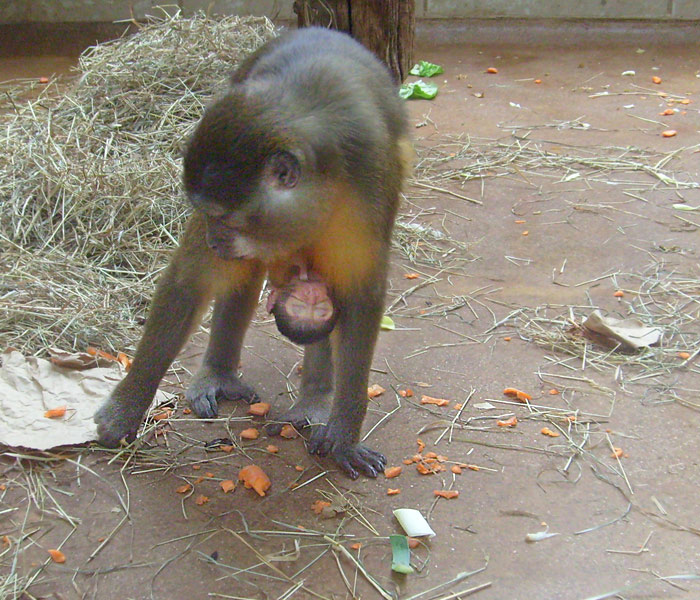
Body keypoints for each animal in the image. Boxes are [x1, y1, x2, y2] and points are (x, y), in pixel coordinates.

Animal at [92, 27, 410, 478]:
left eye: (224, 218)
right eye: (209, 214)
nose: (215, 239)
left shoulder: (369, 190)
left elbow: (359, 300)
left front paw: (344, 435)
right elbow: (191, 281)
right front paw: (127, 407)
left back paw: (315, 397)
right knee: (242, 273)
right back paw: (220, 373)